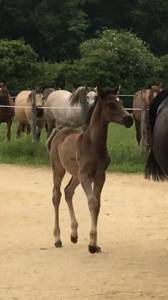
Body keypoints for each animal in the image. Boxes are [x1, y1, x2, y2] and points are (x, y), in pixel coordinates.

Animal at [47, 86, 133, 253]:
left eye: (120, 101)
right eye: (110, 104)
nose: (129, 120)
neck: (93, 145)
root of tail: (60, 132)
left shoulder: (100, 176)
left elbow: (97, 203)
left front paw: (95, 244)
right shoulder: (86, 176)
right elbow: (92, 202)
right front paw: (92, 245)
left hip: (76, 175)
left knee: (68, 191)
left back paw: (74, 235)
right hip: (59, 170)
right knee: (56, 195)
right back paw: (57, 239)